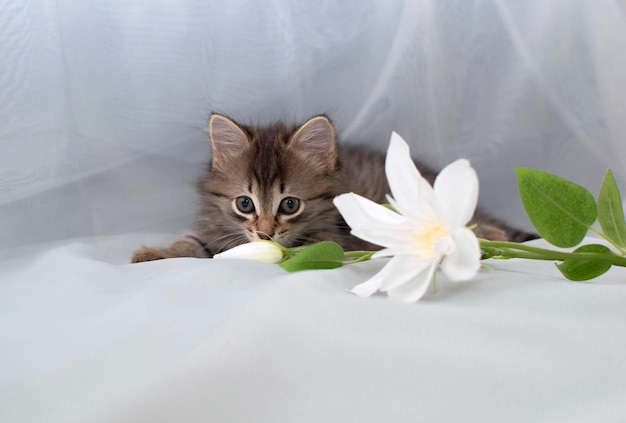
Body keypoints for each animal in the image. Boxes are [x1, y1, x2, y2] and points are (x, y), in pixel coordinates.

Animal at [130, 114, 532, 264]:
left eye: (289, 205)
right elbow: (189, 244)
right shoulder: (214, 226)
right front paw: (153, 253)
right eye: (244, 203)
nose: (265, 233)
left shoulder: (331, 237)